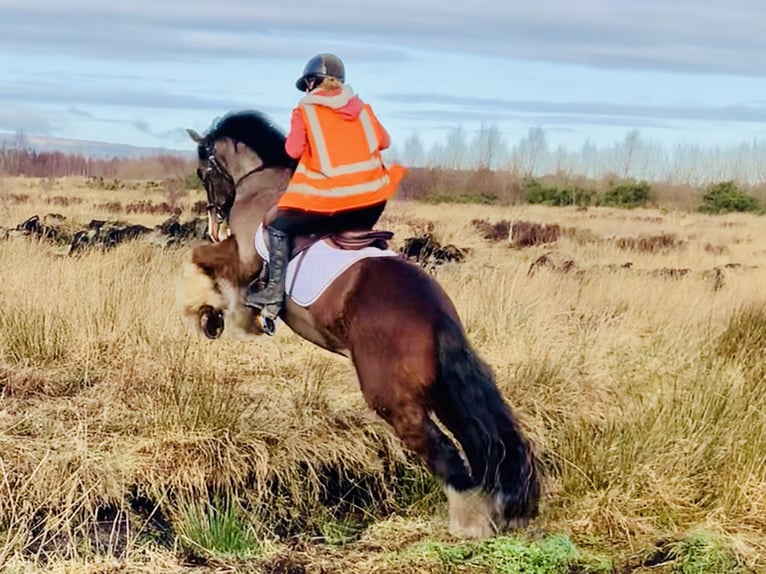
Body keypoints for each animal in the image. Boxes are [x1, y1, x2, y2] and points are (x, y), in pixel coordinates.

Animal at [178, 111, 540, 540]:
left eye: (203, 171)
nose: (215, 220)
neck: (260, 178)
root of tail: (437, 318)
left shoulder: (245, 256)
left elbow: (202, 258)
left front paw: (213, 313)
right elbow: (206, 262)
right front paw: (211, 314)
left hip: (393, 399)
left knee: (446, 454)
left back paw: (467, 524)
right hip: (444, 393)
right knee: (477, 440)